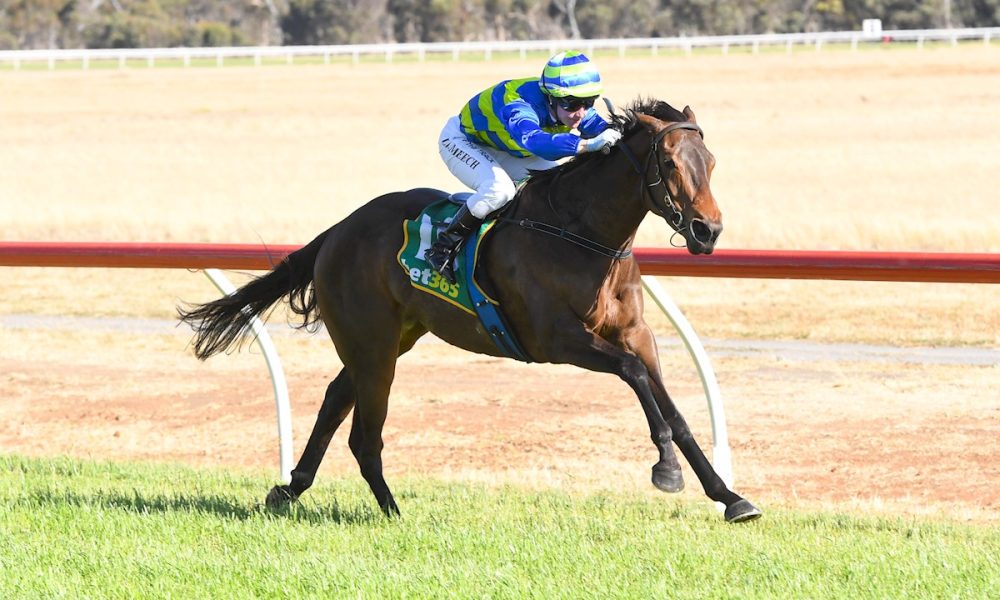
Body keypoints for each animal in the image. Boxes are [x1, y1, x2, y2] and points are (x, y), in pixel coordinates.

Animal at [178, 98, 762, 523]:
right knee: (364, 433)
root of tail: (338, 230)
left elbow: (673, 408)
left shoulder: (637, 332)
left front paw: (729, 496)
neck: (583, 234)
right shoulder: (557, 340)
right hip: (374, 347)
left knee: (335, 399)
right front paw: (666, 471)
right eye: (669, 163)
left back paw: (290, 489)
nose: (708, 231)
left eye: (710, 162)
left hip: (389, 339)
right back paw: (391, 511)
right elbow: (635, 376)